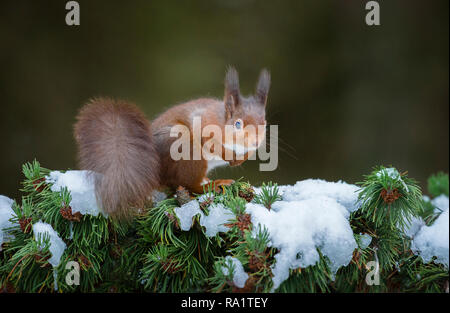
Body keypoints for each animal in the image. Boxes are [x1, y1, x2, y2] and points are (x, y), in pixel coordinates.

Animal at [74, 66, 270, 217]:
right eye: (238, 123)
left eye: (264, 122)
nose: (255, 142)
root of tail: (153, 173)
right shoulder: (204, 122)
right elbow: (208, 140)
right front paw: (228, 155)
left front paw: (243, 157)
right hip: (186, 149)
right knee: (188, 185)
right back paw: (213, 185)